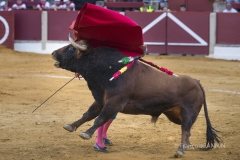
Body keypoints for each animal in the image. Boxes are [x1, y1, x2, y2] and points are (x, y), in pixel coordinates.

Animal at [52, 34, 221, 157]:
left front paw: (86, 134)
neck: (109, 69)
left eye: (70, 49)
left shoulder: (114, 102)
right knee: (187, 130)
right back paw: (185, 147)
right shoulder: (101, 99)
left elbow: (100, 118)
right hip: (174, 114)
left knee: (185, 129)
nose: (53, 53)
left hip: (188, 112)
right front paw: (71, 126)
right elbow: (89, 114)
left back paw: (180, 151)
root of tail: (196, 82)